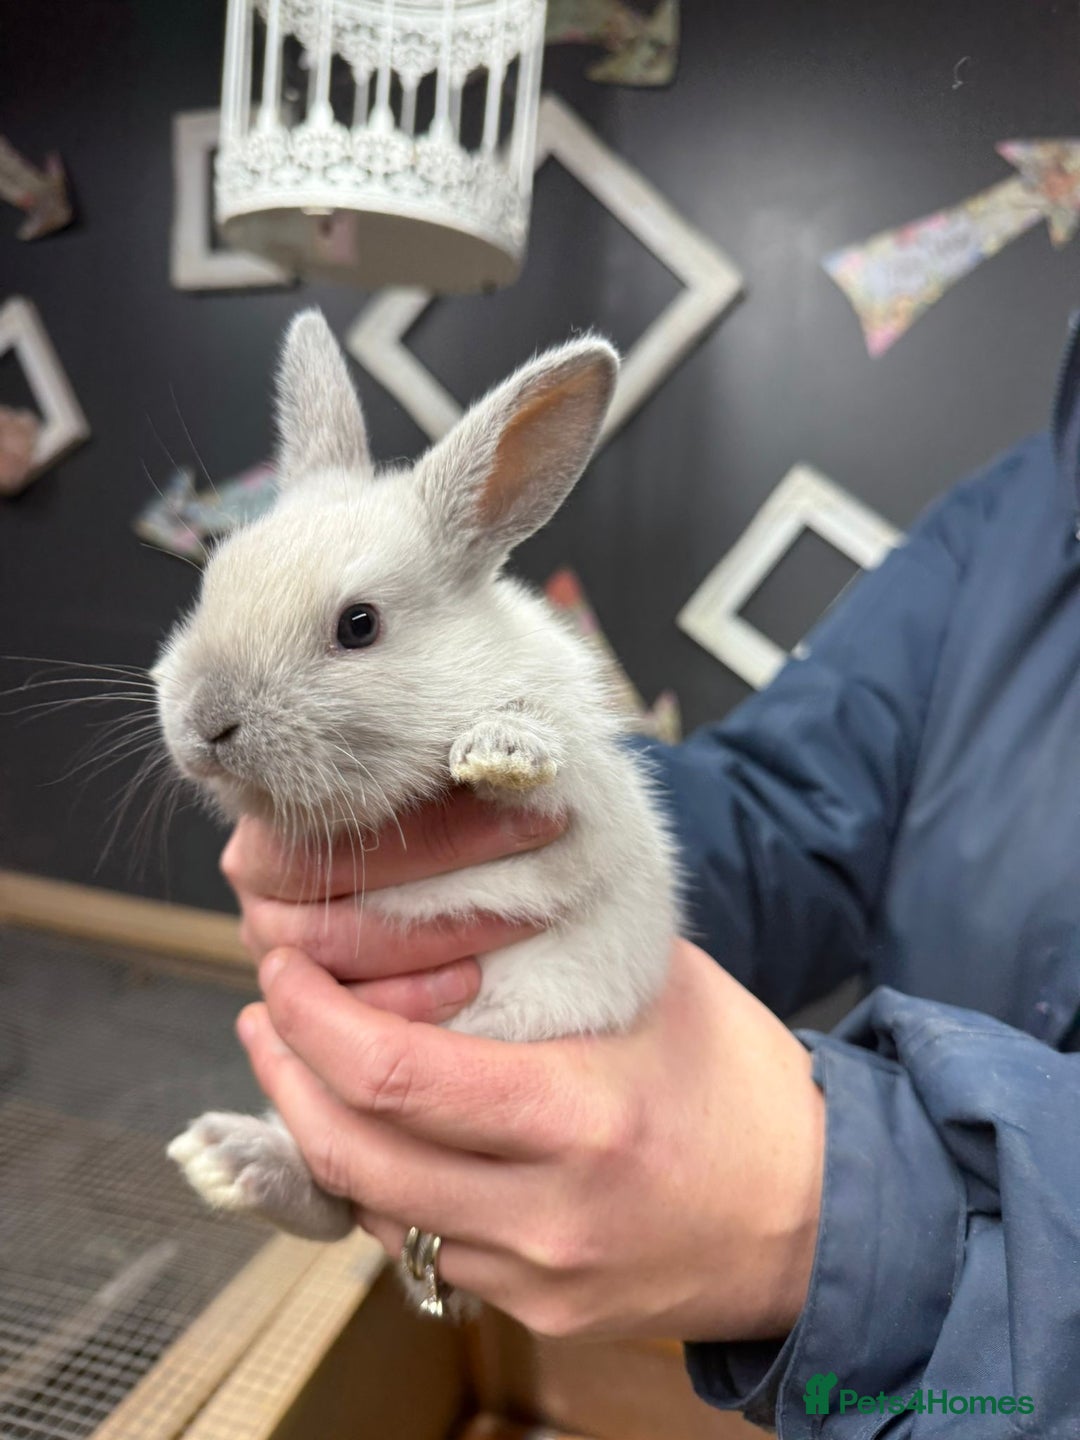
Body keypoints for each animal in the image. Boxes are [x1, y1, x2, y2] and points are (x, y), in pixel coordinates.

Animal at [160, 310, 679, 1267]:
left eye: (359, 625)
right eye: (211, 584)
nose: (206, 724)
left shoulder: (585, 821)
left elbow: (543, 784)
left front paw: (500, 749)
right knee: (331, 1200)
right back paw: (231, 1162)